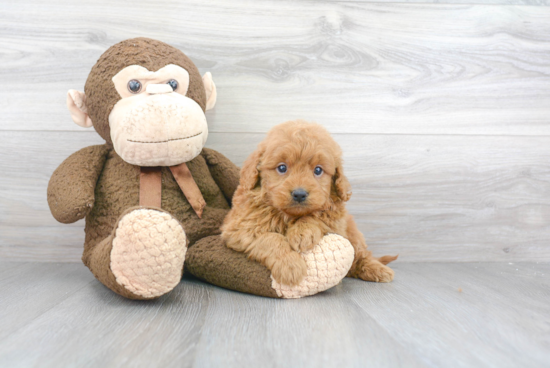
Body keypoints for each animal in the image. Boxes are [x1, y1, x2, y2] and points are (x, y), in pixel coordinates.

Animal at [222, 119, 398, 286]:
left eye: (318, 170)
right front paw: (290, 266)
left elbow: (317, 216)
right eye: (282, 168)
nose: (299, 194)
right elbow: (270, 238)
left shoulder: (336, 223)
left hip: (353, 234)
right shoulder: (239, 229)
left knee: (361, 255)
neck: (288, 215)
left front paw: (302, 233)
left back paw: (377, 269)